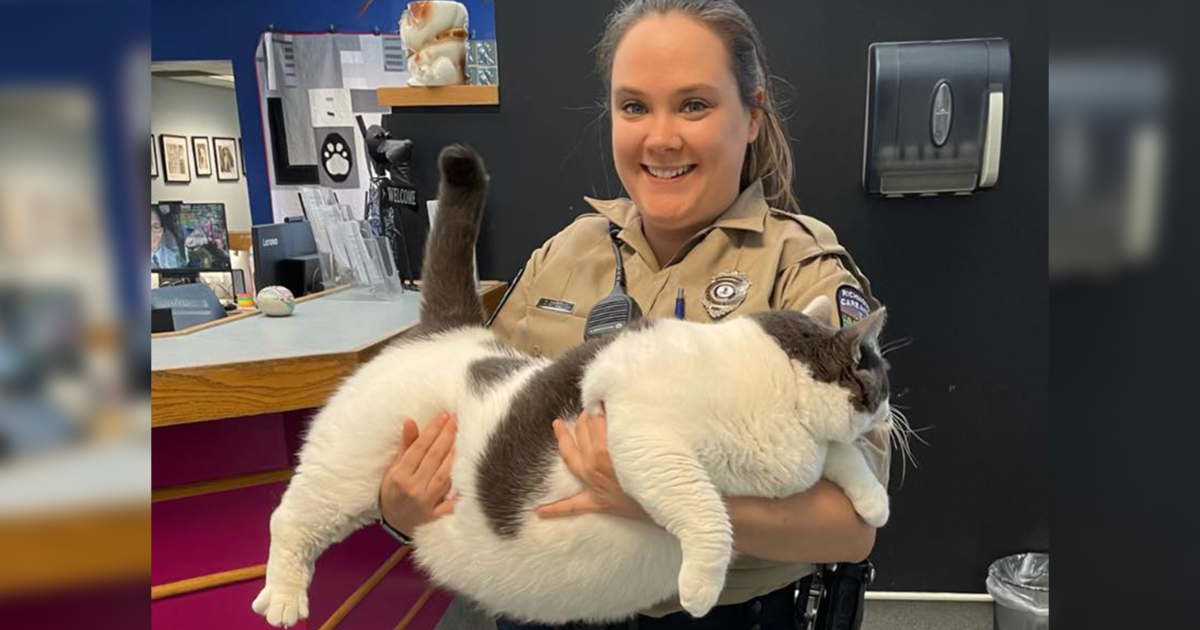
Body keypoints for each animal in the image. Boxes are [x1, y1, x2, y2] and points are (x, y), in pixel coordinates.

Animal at [253, 146, 892, 624]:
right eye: (880, 379)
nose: (891, 411)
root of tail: (450, 329)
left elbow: (843, 460)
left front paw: (873, 503)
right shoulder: (646, 443)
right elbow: (707, 511)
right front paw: (700, 586)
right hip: (344, 473)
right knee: (288, 519)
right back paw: (281, 598)